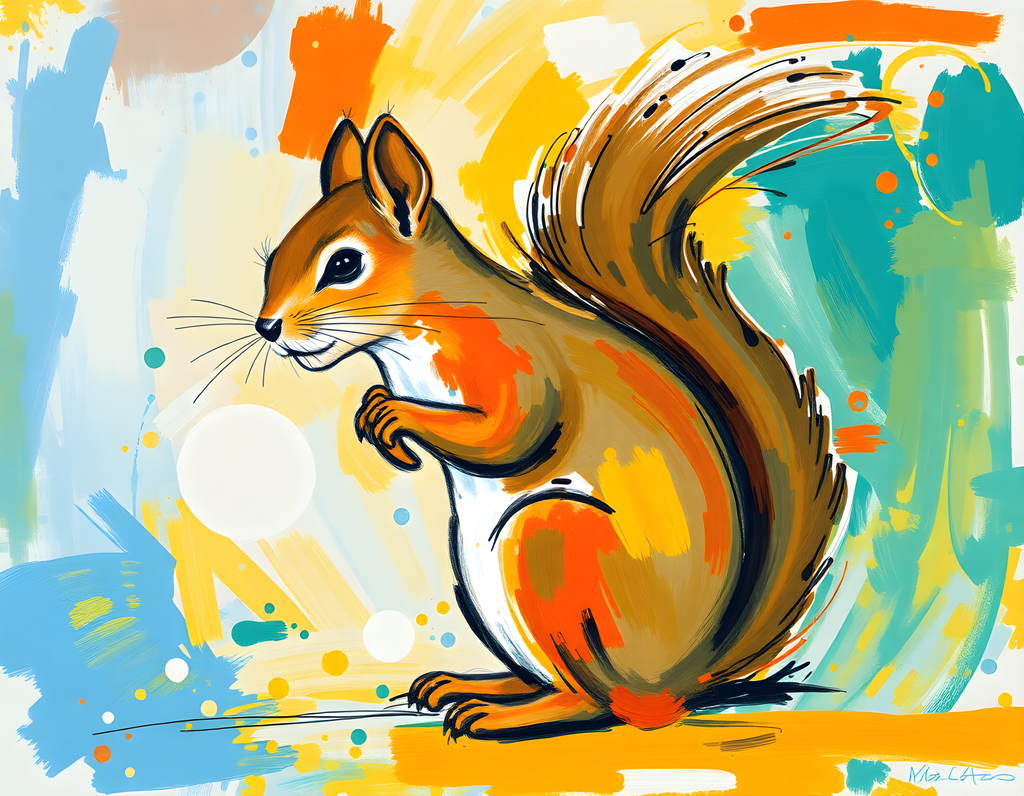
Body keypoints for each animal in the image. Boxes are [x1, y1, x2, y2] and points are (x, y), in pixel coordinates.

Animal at [255, 42, 894, 740]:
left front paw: (390, 414)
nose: (267, 327)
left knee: (597, 700)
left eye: (344, 265)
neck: (425, 321)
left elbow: (512, 433)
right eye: (271, 260)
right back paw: (471, 685)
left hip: (551, 543)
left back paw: (501, 713)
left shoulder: (517, 360)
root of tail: (682, 682)